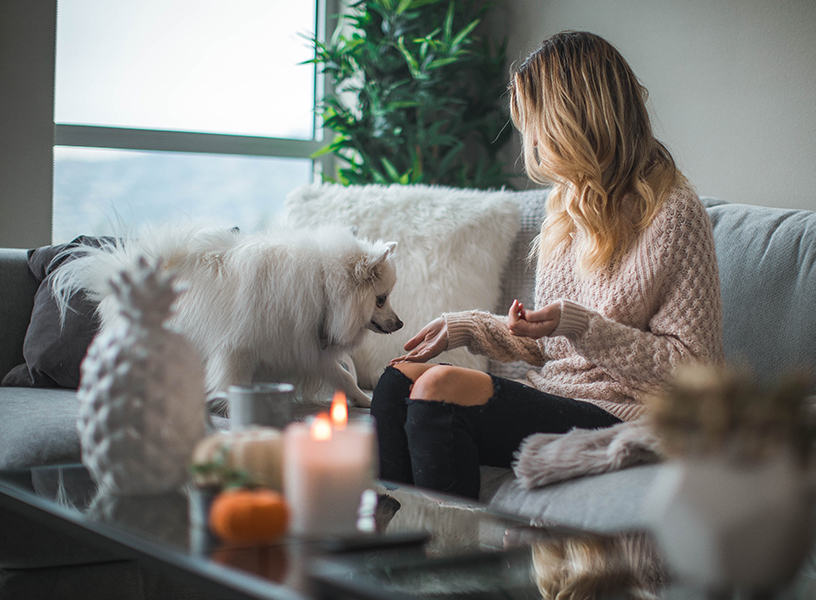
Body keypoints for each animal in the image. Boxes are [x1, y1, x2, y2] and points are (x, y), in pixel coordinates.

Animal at [52, 225, 404, 408]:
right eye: (381, 299)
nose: (400, 323)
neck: (322, 288)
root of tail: (119, 273)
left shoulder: (304, 347)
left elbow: (343, 376)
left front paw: (363, 400)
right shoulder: (239, 349)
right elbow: (232, 380)